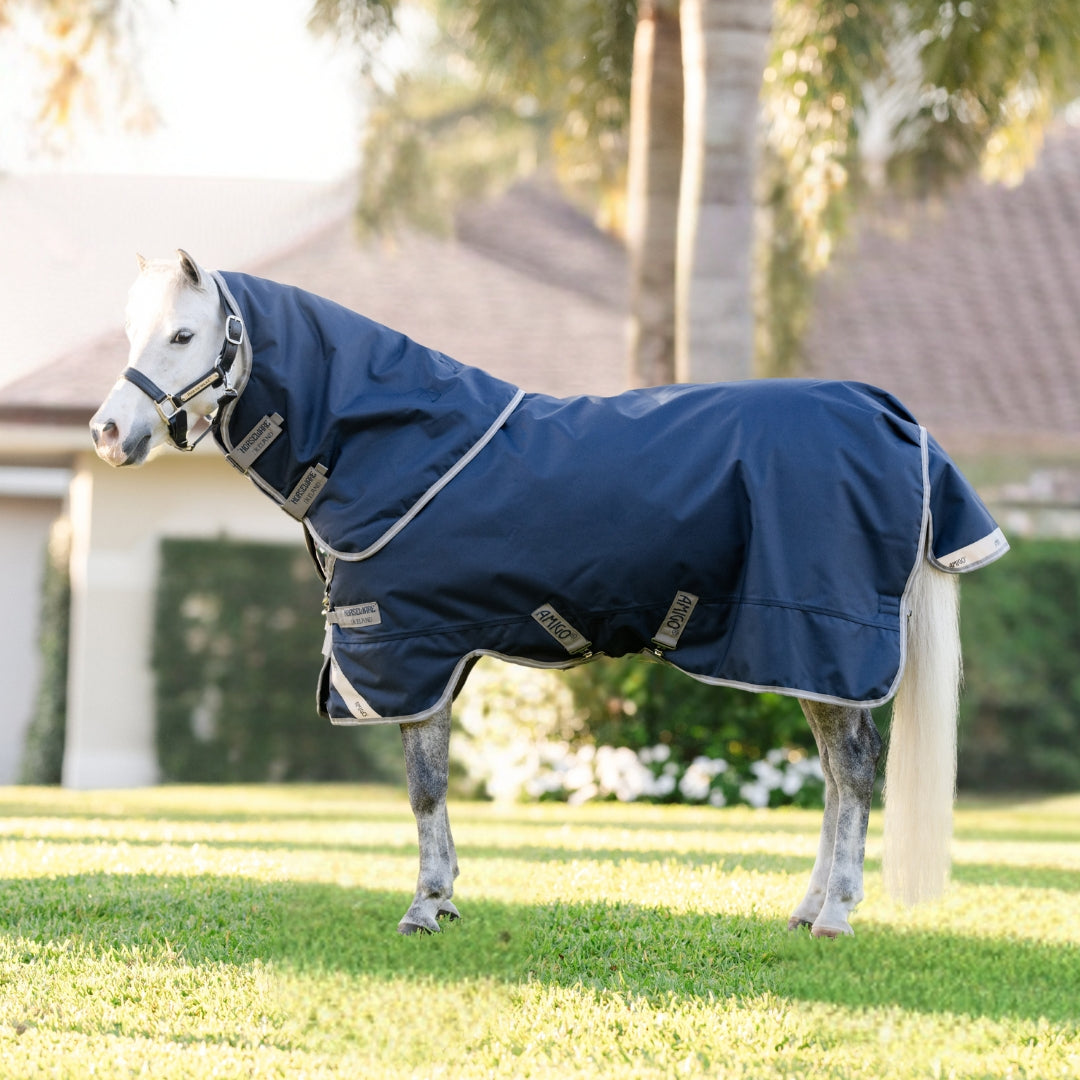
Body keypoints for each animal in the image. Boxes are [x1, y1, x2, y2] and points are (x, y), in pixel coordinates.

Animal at [90, 250, 1007, 938]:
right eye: (135, 331)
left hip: (821, 642)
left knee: (852, 773)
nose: (107, 433)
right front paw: (444, 898)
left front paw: (425, 905)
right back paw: (809, 905)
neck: (389, 447)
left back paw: (836, 913)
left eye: (184, 333)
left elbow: (424, 788)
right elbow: (433, 787)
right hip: (805, 658)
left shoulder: (409, 653)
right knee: (834, 775)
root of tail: (896, 419)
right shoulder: (431, 657)